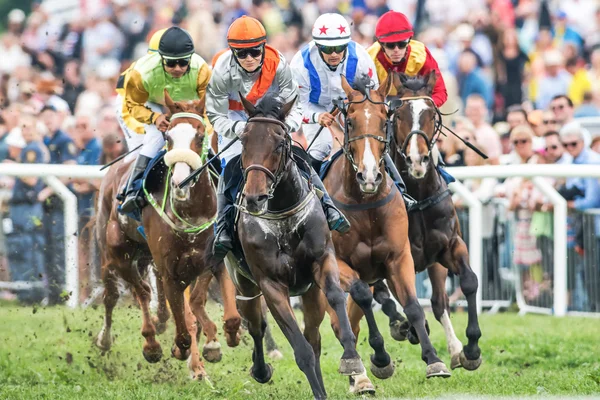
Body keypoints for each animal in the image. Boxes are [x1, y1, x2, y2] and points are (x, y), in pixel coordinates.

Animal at [96, 91, 241, 382]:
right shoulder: (170, 270)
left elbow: (219, 311)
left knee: (146, 291)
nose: (181, 183)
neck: (191, 213)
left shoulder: (210, 258)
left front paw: (217, 341)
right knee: (124, 293)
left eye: (200, 136)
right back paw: (133, 342)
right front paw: (185, 351)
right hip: (115, 252)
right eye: (168, 138)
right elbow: (184, 327)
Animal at [219, 94, 366, 400]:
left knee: (314, 336)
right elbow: (302, 351)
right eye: (244, 141)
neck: (281, 214)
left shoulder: (323, 260)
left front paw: (351, 357)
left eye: (279, 142)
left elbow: (336, 296)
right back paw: (261, 370)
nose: (255, 198)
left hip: (310, 294)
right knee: (256, 325)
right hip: (243, 284)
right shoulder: (271, 284)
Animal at [324, 74, 450, 394]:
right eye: (350, 121)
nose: (369, 176)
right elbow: (360, 297)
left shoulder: (399, 256)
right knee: (341, 320)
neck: (366, 203)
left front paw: (434, 360)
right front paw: (380, 358)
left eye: (384, 121)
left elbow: (413, 306)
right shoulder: (340, 264)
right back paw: (358, 373)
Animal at [390, 72, 482, 372]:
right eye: (398, 114)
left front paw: (471, 348)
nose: (417, 160)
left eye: (431, 114)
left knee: (439, 301)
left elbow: (469, 282)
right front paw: (413, 330)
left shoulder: (449, 246)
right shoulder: (397, 256)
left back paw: (453, 348)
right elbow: (405, 298)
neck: (417, 197)